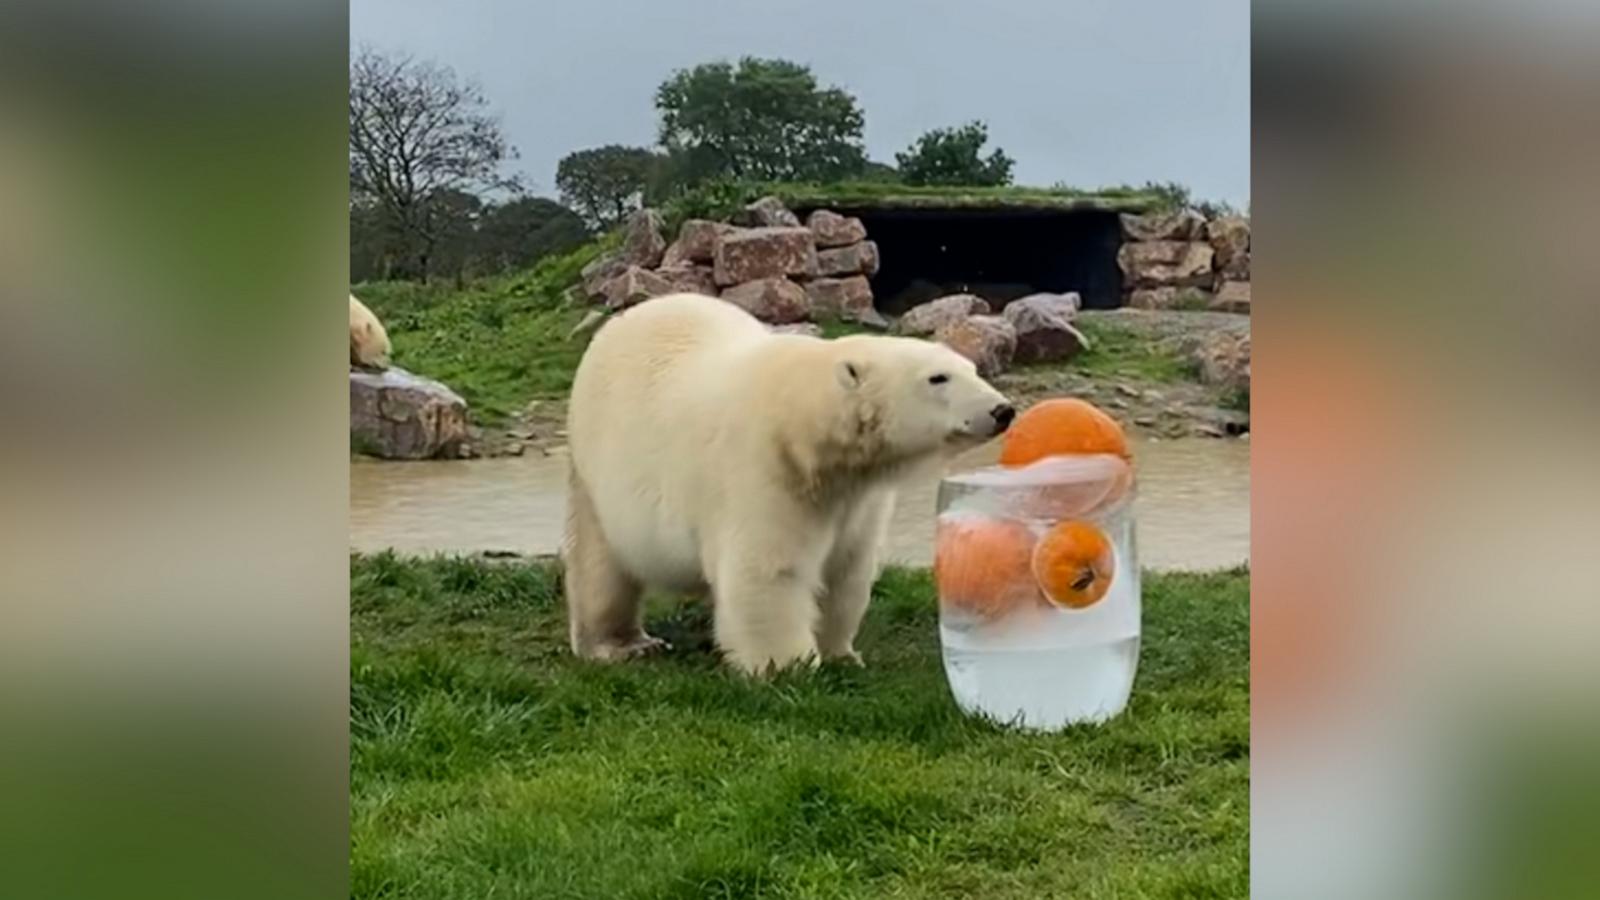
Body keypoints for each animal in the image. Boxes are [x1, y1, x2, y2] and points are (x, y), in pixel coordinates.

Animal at [563, 294, 1011, 672]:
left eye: (973, 369)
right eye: (938, 378)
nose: (1003, 410)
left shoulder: (856, 497)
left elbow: (847, 568)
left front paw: (842, 654)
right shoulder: (764, 471)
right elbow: (769, 569)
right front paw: (788, 666)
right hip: (597, 470)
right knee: (600, 566)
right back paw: (622, 644)